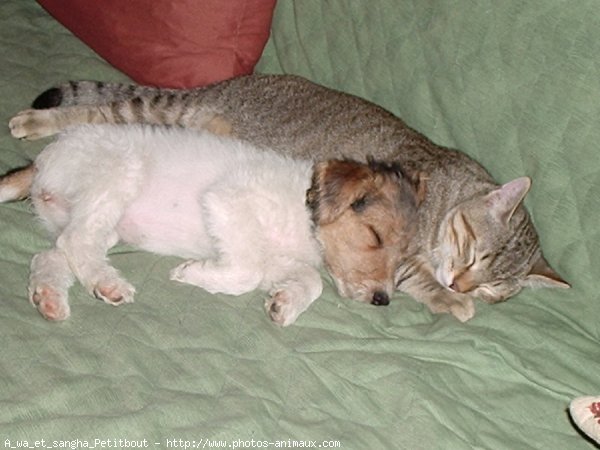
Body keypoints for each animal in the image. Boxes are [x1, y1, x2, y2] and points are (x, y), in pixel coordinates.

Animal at [0, 125, 422, 326]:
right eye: (374, 236)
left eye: (404, 258)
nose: (382, 300)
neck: (303, 213)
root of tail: (42, 160)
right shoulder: (228, 201)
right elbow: (246, 273)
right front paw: (191, 273)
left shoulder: (278, 260)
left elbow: (309, 281)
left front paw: (283, 305)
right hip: (115, 179)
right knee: (75, 243)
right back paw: (107, 284)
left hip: (93, 218)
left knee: (51, 255)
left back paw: (49, 298)